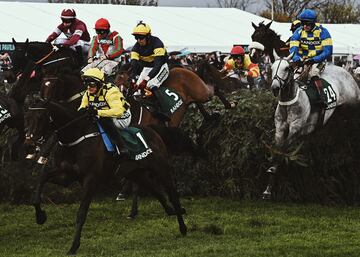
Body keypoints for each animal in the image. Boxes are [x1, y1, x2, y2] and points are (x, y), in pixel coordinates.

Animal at [262, 53, 360, 199]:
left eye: (287, 68)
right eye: (272, 68)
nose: (275, 87)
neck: (289, 102)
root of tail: (347, 72)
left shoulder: (296, 130)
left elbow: (282, 151)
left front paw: (273, 173)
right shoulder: (279, 129)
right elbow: (277, 150)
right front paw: (268, 189)